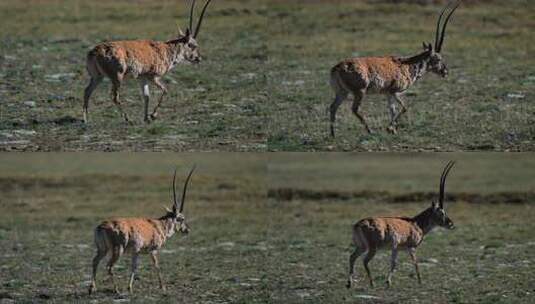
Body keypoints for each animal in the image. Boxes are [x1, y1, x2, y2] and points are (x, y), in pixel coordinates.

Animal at [82, 0, 213, 123]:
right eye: (192, 45)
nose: (198, 58)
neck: (166, 49)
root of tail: (94, 52)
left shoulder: (142, 78)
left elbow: (146, 96)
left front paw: (146, 118)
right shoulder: (153, 77)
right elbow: (165, 90)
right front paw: (153, 115)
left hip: (98, 77)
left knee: (87, 91)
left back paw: (85, 119)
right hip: (117, 77)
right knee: (115, 96)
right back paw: (127, 119)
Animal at [88, 166, 197, 294]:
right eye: (181, 218)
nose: (187, 230)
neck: (160, 225)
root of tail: (101, 226)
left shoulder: (136, 252)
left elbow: (134, 267)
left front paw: (130, 287)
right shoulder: (153, 251)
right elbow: (156, 265)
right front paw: (163, 287)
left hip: (102, 249)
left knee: (95, 261)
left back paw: (92, 288)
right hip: (118, 250)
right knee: (109, 266)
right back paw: (116, 290)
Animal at [330, 0, 460, 137]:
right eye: (439, 58)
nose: (445, 72)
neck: (408, 64)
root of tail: (337, 68)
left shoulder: (388, 93)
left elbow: (392, 110)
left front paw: (393, 130)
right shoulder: (395, 92)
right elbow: (404, 108)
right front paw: (390, 128)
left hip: (342, 92)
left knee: (333, 107)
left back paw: (333, 134)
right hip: (359, 92)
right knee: (355, 109)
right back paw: (370, 130)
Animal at [348, 160, 456, 288]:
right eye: (442, 212)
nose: (451, 224)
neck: (416, 223)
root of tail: (358, 225)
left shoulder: (396, 248)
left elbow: (394, 263)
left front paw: (388, 282)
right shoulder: (411, 247)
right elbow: (415, 262)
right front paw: (420, 281)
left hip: (362, 247)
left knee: (352, 257)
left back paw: (349, 283)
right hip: (372, 248)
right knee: (365, 261)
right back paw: (372, 283)